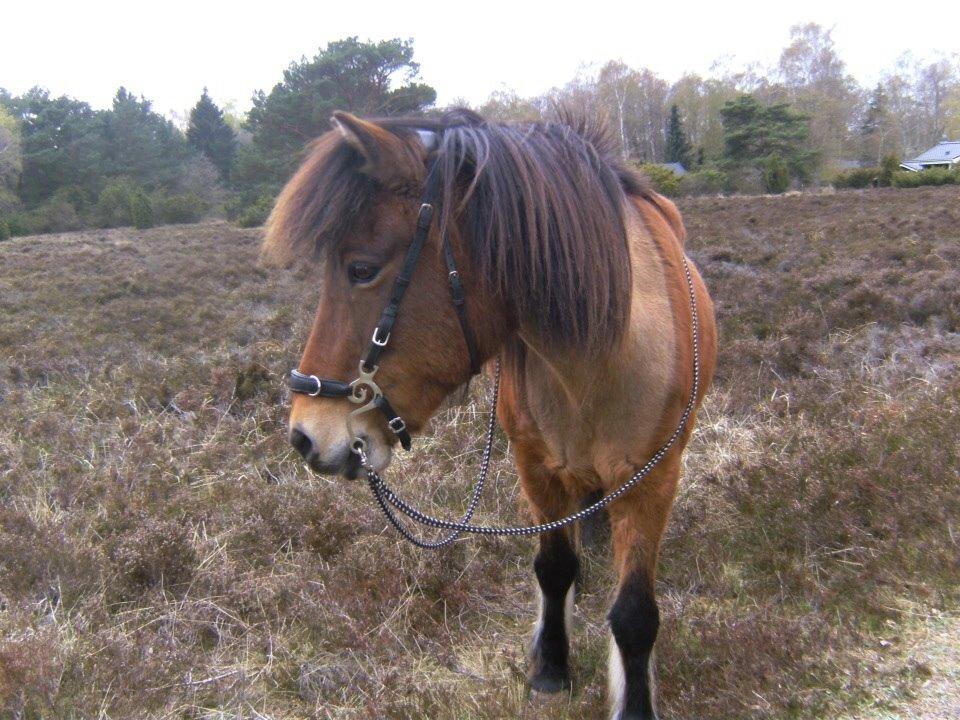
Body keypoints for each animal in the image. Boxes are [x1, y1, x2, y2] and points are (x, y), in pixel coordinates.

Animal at [262, 108, 712, 720]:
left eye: (361, 268)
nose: (305, 436)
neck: (600, 358)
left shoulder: (653, 481)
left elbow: (636, 615)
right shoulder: (536, 466)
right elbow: (554, 568)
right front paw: (551, 667)